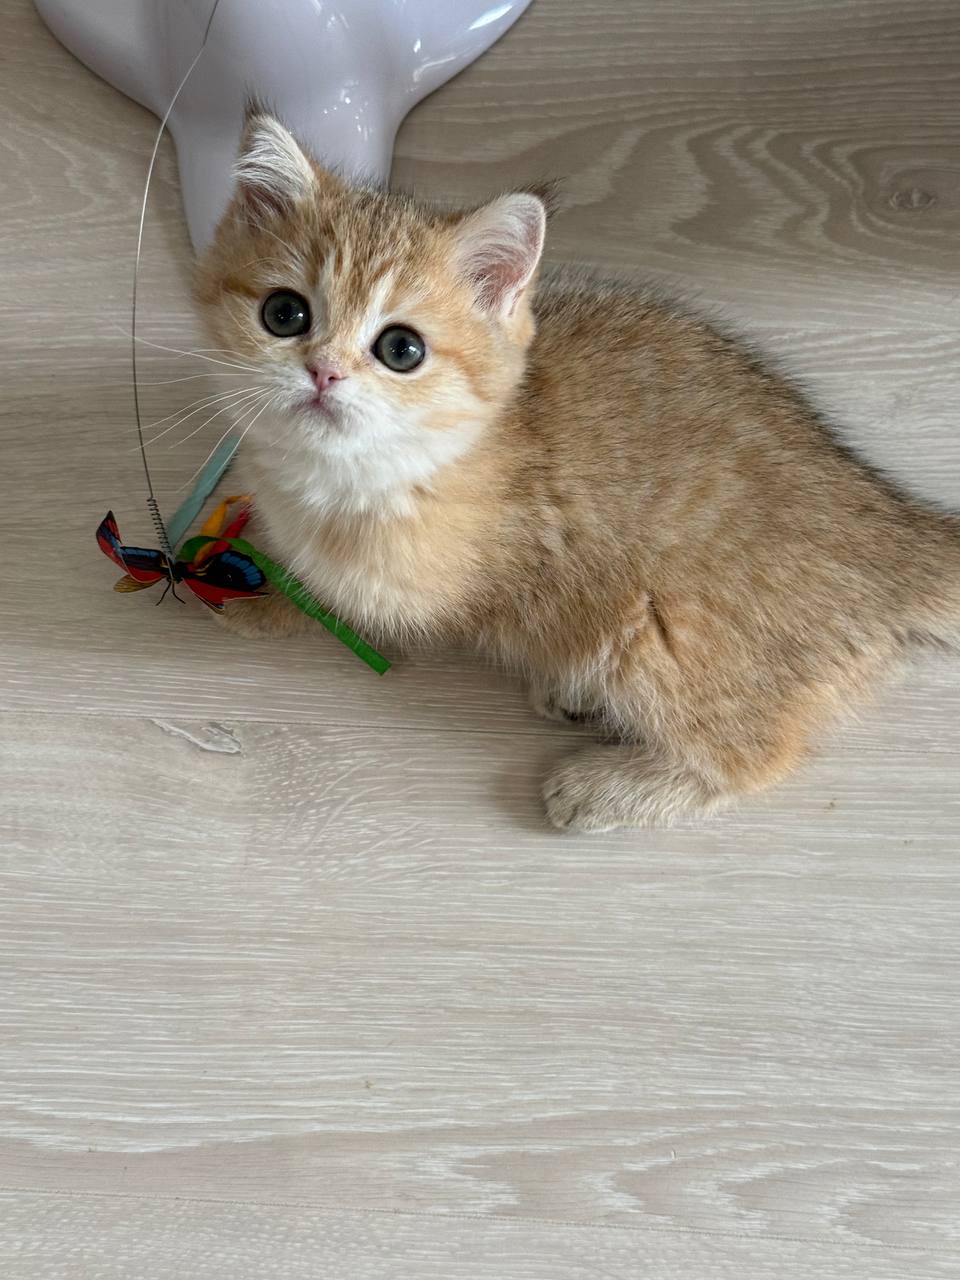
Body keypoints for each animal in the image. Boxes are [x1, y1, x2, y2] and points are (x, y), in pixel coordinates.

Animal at [194, 111, 960, 833]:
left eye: (401, 349)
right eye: (284, 313)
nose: (323, 372)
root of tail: (890, 520)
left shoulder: (408, 588)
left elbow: (326, 595)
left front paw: (259, 597)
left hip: (658, 638)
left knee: (754, 756)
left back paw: (610, 786)